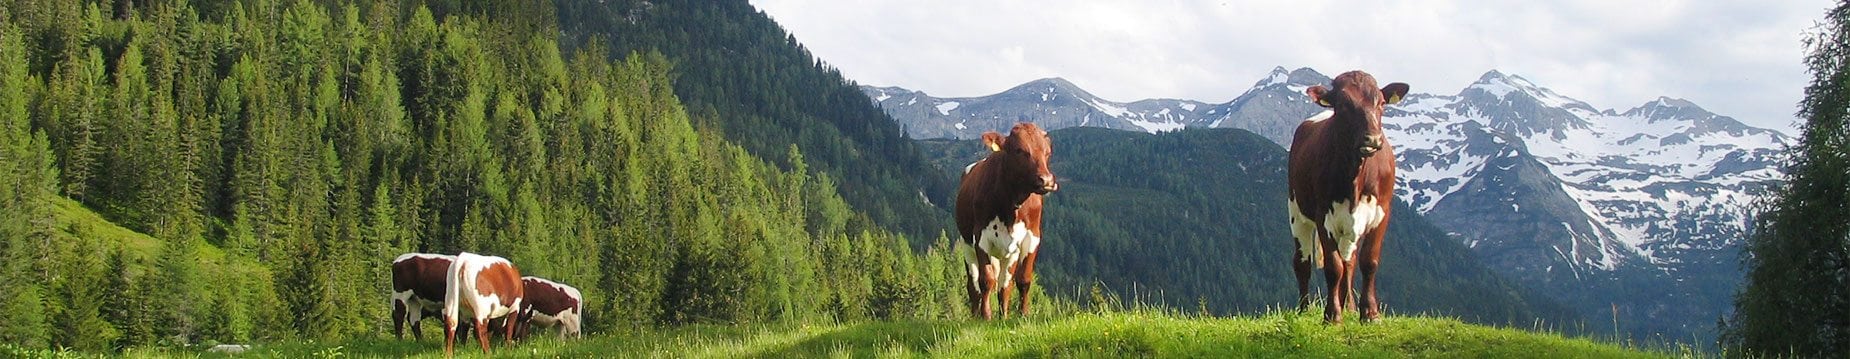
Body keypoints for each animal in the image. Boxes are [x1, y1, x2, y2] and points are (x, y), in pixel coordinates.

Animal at [954, 122, 1058, 318]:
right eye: (1019, 150)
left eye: (1047, 152)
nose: (1047, 181)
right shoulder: (980, 237)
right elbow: (986, 280)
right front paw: (986, 316)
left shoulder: (1032, 237)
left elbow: (1022, 280)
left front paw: (1022, 314)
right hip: (966, 246)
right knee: (973, 286)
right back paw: (975, 315)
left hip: (1008, 253)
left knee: (1004, 284)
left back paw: (1004, 315)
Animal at [1295, 70, 1406, 325]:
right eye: (1344, 104)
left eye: (1381, 103)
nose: (1372, 139)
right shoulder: (1323, 215)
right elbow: (1333, 267)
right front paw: (1332, 315)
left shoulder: (1382, 212)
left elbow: (1368, 261)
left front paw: (1370, 313)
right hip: (1297, 212)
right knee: (1303, 262)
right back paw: (1304, 310)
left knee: (1350, 262)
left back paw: (1350, 307)